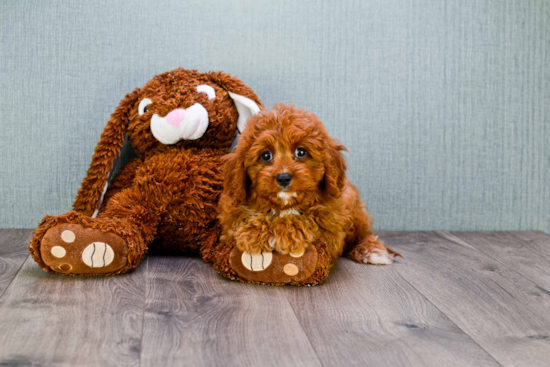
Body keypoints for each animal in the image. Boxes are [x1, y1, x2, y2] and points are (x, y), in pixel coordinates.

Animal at [28, 69, 266, 276]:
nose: (175, 117)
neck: (185, 149)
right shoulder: (132, 171)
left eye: (206, 93)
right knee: (126, 216)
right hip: (135, 205)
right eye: (145, 108)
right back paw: (77, 242)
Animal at [207, 104, 402, 288]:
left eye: (301, 152)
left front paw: (263, 232)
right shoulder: (230, 221)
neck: (284, 205)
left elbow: (304, 221)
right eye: (266, 155)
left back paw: (372, 251)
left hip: (355, 213)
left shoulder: (330, 229)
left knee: (363, 234)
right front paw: (254, 230)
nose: (283, 177)